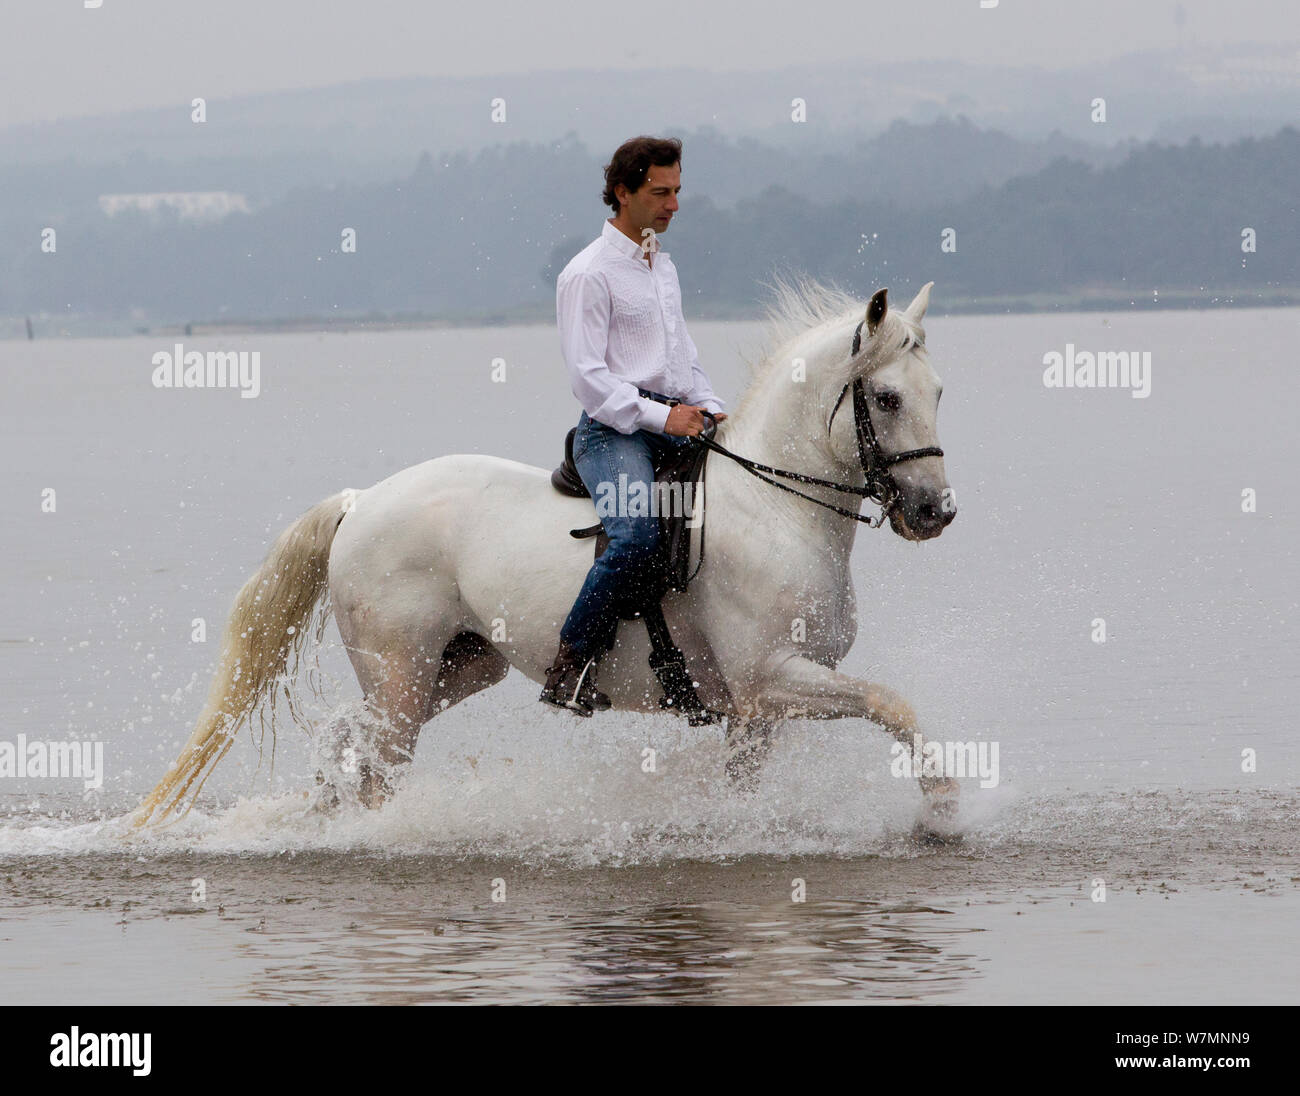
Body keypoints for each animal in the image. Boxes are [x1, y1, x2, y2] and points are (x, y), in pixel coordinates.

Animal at [134, 278, 967, 837]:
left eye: (939, 391)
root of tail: (361, 501)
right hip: (401, 675)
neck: (776, 509)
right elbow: (895, 704)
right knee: (374, 760)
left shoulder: (756, 712)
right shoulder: (774, 680)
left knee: (350, 742)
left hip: (462, 666)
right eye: (886, 398)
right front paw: (942, 809)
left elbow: (742, 788)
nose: (936, 511)